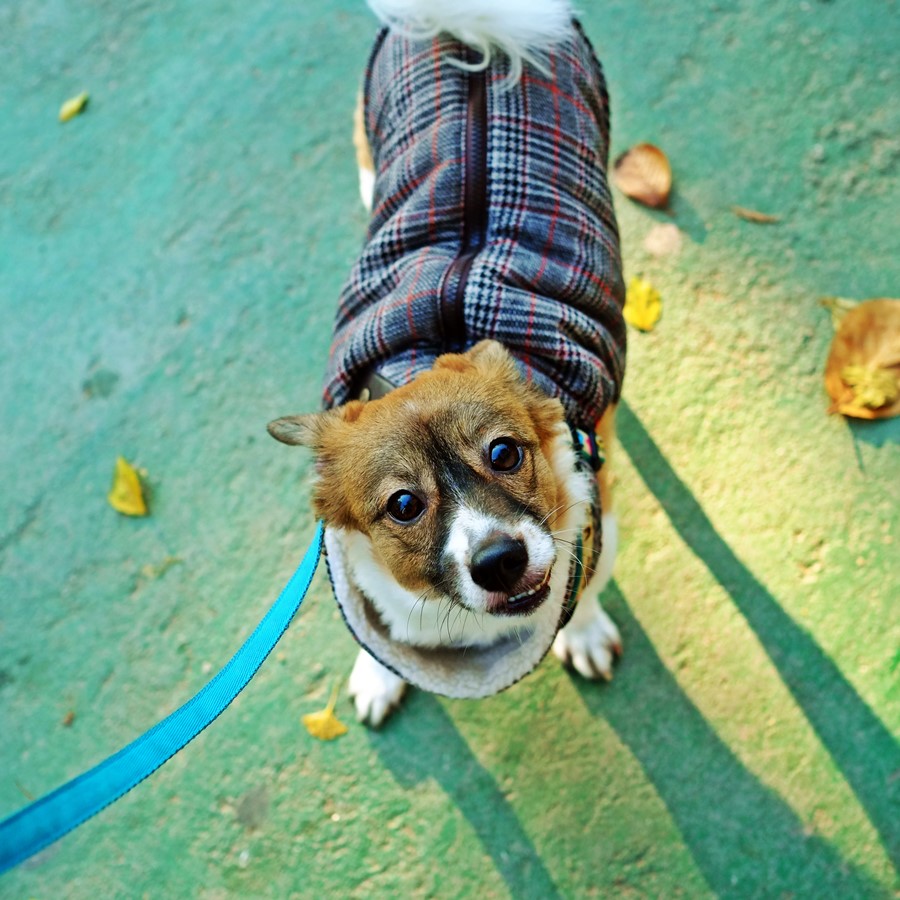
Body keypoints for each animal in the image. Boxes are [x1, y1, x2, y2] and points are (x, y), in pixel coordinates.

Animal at [269, 0, 627, 726]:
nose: (499, 561)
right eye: (404, 504)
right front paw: (377, 674)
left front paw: (581, 630)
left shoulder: (599, 520)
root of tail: (464, 34)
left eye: (504, 454)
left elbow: (586, 581)